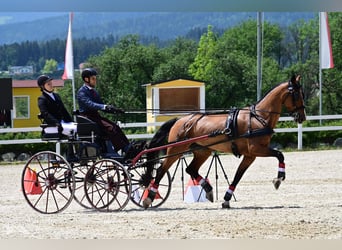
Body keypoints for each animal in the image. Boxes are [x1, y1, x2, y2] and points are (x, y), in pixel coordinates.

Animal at [141, 75, 304, 208]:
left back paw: (208, 190)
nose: (302, 117)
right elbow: (279, 154)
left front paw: (226, 199)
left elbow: (238, 175)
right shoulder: (257, 149)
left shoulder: (250, 155)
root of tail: (180, 120)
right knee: (162, 170)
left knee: (191, 169)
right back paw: (149, 198)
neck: (258, 117)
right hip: (176, 150)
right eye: (296, 94)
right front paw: (279, 178)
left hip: (202, 151)